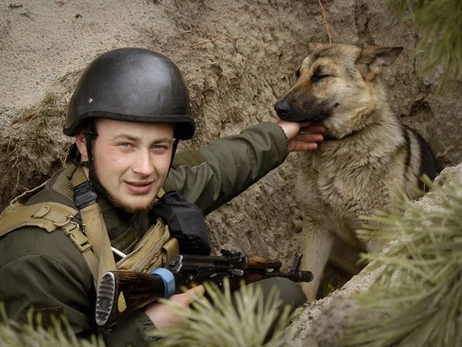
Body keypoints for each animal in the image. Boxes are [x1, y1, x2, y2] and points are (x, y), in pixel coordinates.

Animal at [274, 42, 440, 300]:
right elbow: (307, 282)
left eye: (320, 76)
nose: (278, 108)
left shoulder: (381, 233)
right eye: (297, 74)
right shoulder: (316, 229)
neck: (340, 142)